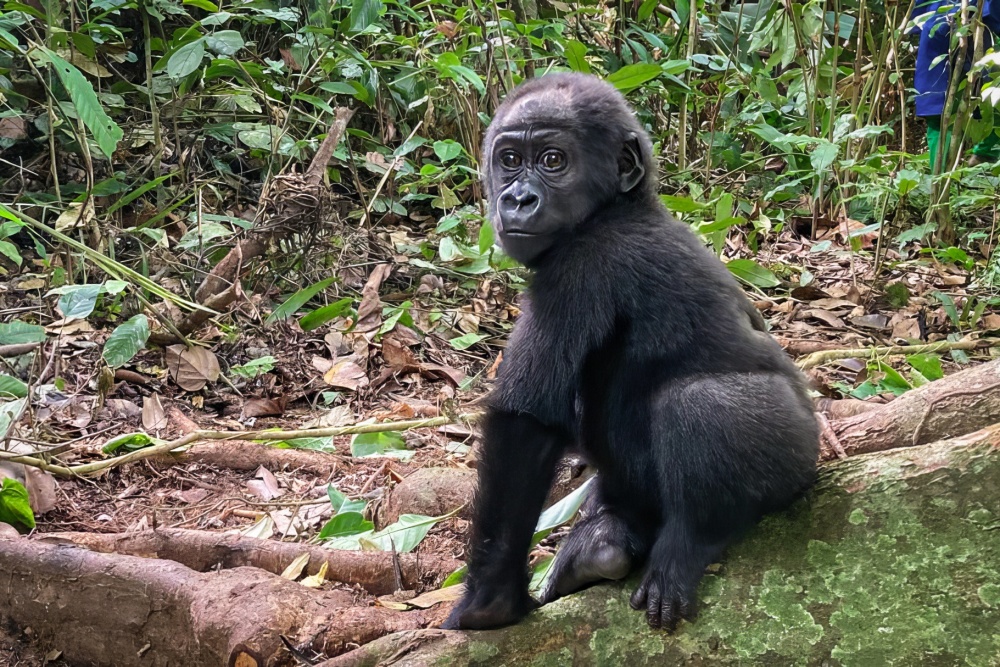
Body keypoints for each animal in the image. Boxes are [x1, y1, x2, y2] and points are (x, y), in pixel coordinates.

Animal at [448, 73, 820, 632]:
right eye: (509, 160)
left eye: (553, 160)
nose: (518, 199)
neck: (622, 206)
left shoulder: (581, 265)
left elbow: (528, 422)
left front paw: (488, 603)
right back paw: (606, 542)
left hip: (798, 455)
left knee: (699, 403)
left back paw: (691, 542)